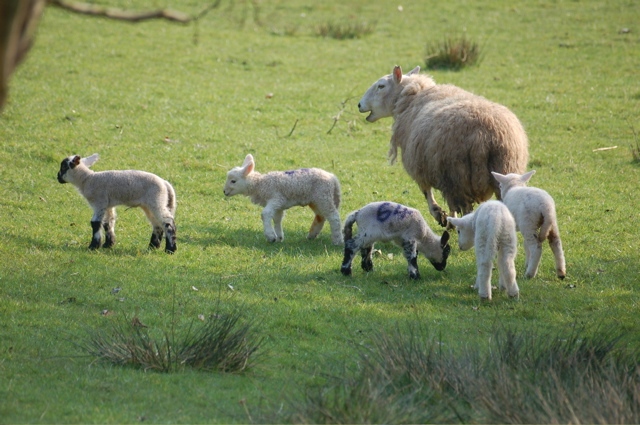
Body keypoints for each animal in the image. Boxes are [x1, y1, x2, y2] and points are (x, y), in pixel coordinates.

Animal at [358, 63, 528, 225]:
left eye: (381, 86)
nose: (359, 104)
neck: (412, 97)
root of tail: (485, 135)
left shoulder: (419, 165)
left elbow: (427, 192)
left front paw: (439, 214)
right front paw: (447, 219)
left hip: (456, 176)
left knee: (465, 209)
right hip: (504, 171)